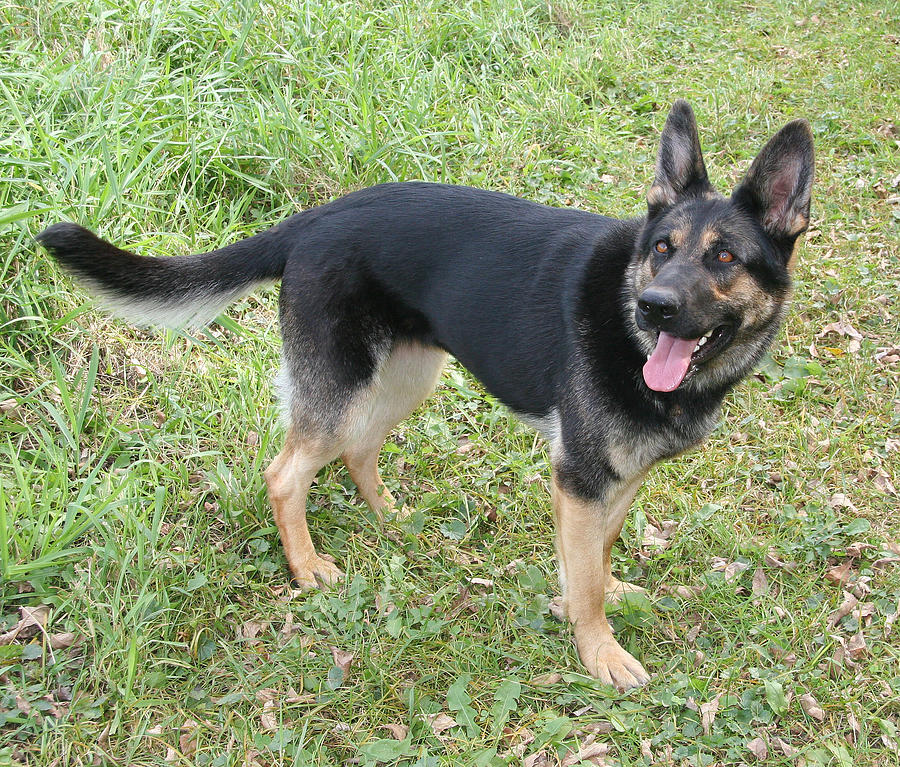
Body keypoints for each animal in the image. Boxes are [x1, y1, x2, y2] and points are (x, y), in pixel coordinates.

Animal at [37, 102, 816, 688]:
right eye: (662, 249)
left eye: (723, 257)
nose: (654, 308)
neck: (630, 331)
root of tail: (315, 217)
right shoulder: (581, 474)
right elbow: (588, 574)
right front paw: (598, 646)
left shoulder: (609, 479)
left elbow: (599, 549)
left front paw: (589, 593)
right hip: (343, 390)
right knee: (285, 472)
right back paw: (307, 566)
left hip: (408, 379)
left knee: (360, 450)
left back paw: (392, 518)